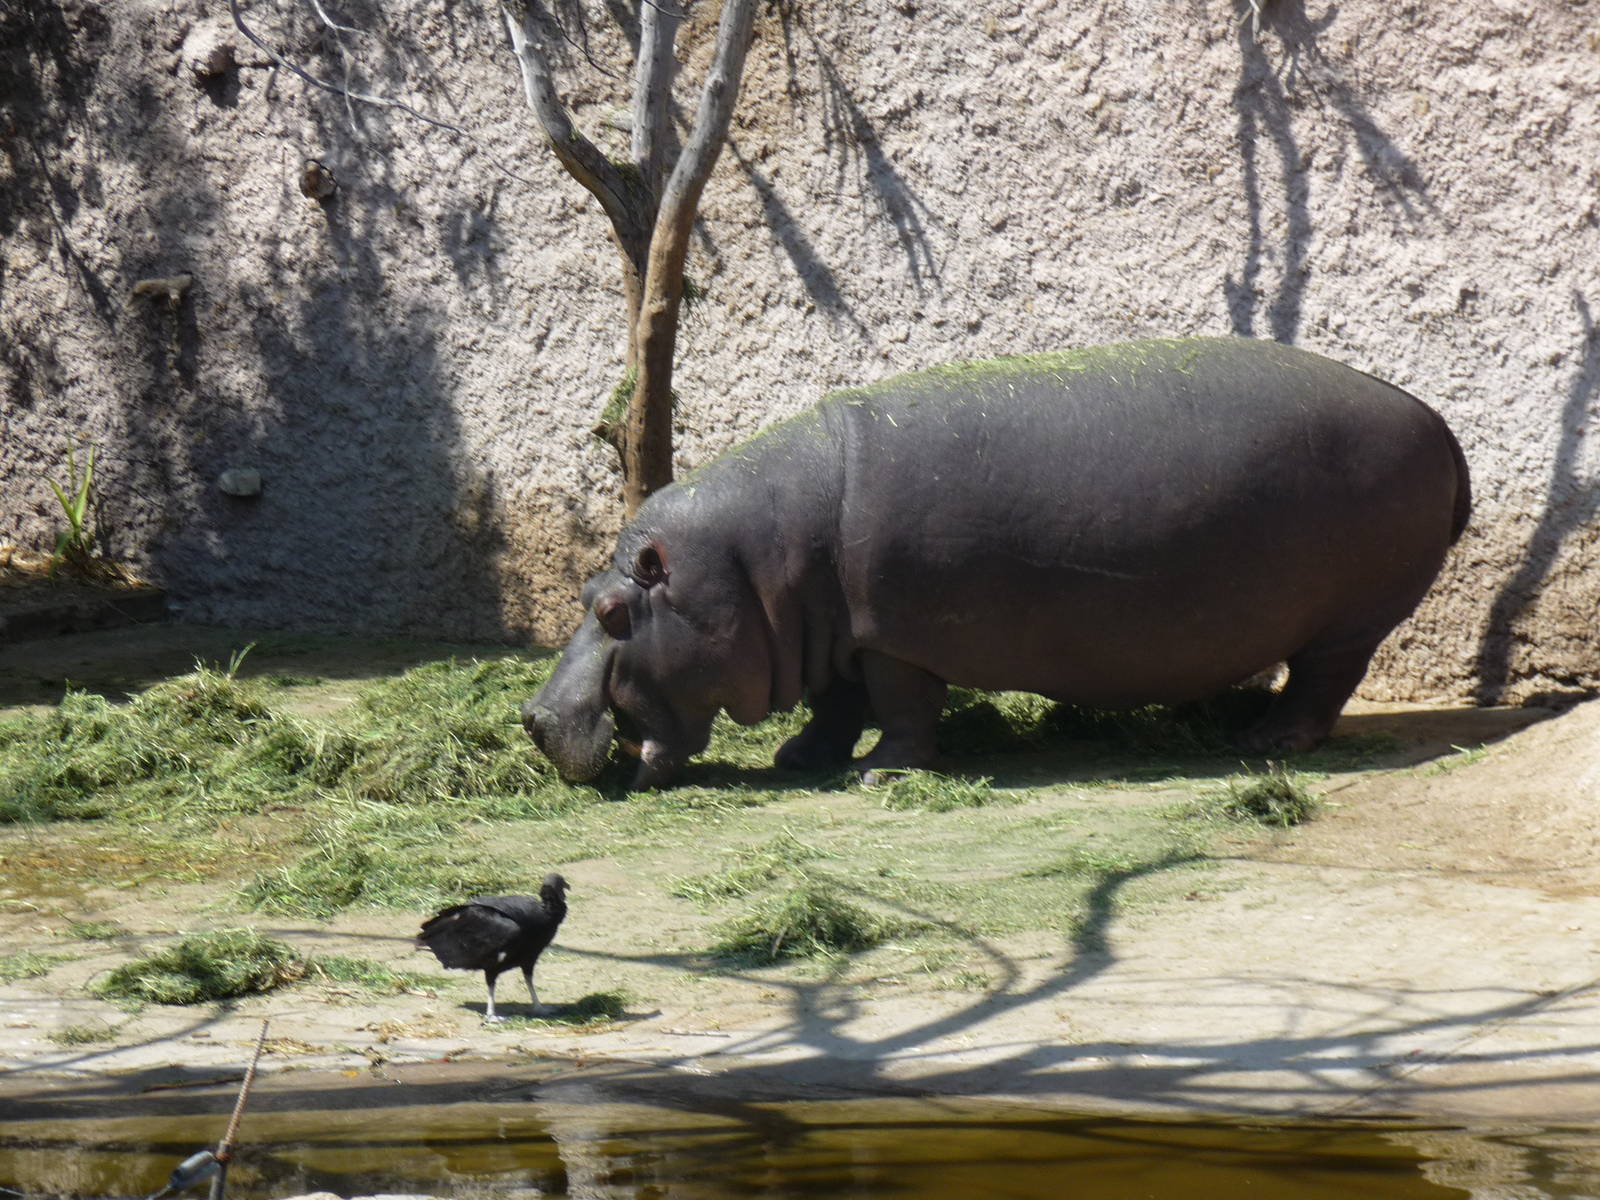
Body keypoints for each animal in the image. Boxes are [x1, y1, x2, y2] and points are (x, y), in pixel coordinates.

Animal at [525, 337, 1470, 789]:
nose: (532, 718)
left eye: (612, 613)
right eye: (584, 587)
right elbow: (835, 704)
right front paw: (802, 758)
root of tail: (1436, 419)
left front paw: (877, 774)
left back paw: (1264, 740)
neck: (749, 567)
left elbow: (901, 706)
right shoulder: (834, 633)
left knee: (1323, 680)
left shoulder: (889, 636)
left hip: (1348, 619)